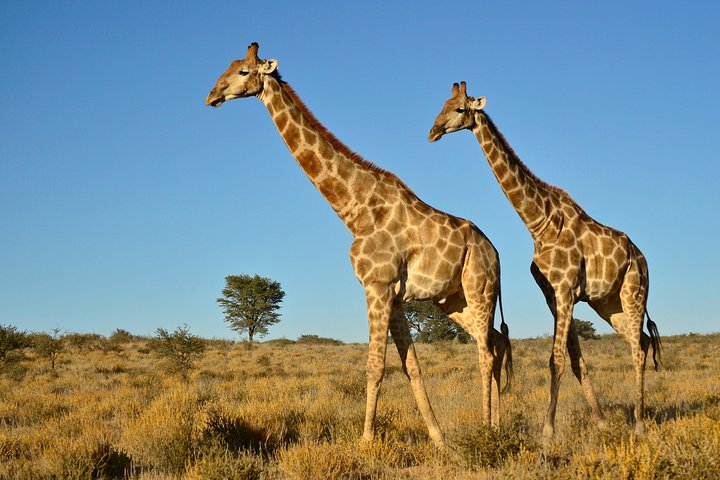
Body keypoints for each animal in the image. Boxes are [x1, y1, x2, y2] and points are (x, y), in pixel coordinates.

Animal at [207, 46, 512, 446]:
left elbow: (375, 367)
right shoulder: (394, 296)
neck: (356, 210)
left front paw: (366, 441)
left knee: (485, 351)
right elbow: (412, 368)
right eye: (226, 67)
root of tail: (496, 251)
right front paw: (439, 440)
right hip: (453, 300)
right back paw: (496, 425)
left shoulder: (377, 286)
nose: (211, 96)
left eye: (243, 71)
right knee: (495, 342)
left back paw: (489, 430)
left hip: (480, 288)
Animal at [430, 83, 660, 438]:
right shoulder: (554, 295)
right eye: (441, 105)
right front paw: (601, 421)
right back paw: (638, 417)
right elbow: (575, 360)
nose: (433, 131)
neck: (539, 222)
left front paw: (547, 432)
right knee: (645, 341)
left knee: (637, 348)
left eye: (459, 109)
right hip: (609, 304)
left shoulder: (565, 290)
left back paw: (639, 425)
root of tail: (643, 257)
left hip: (634, 292)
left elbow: (556, 360)